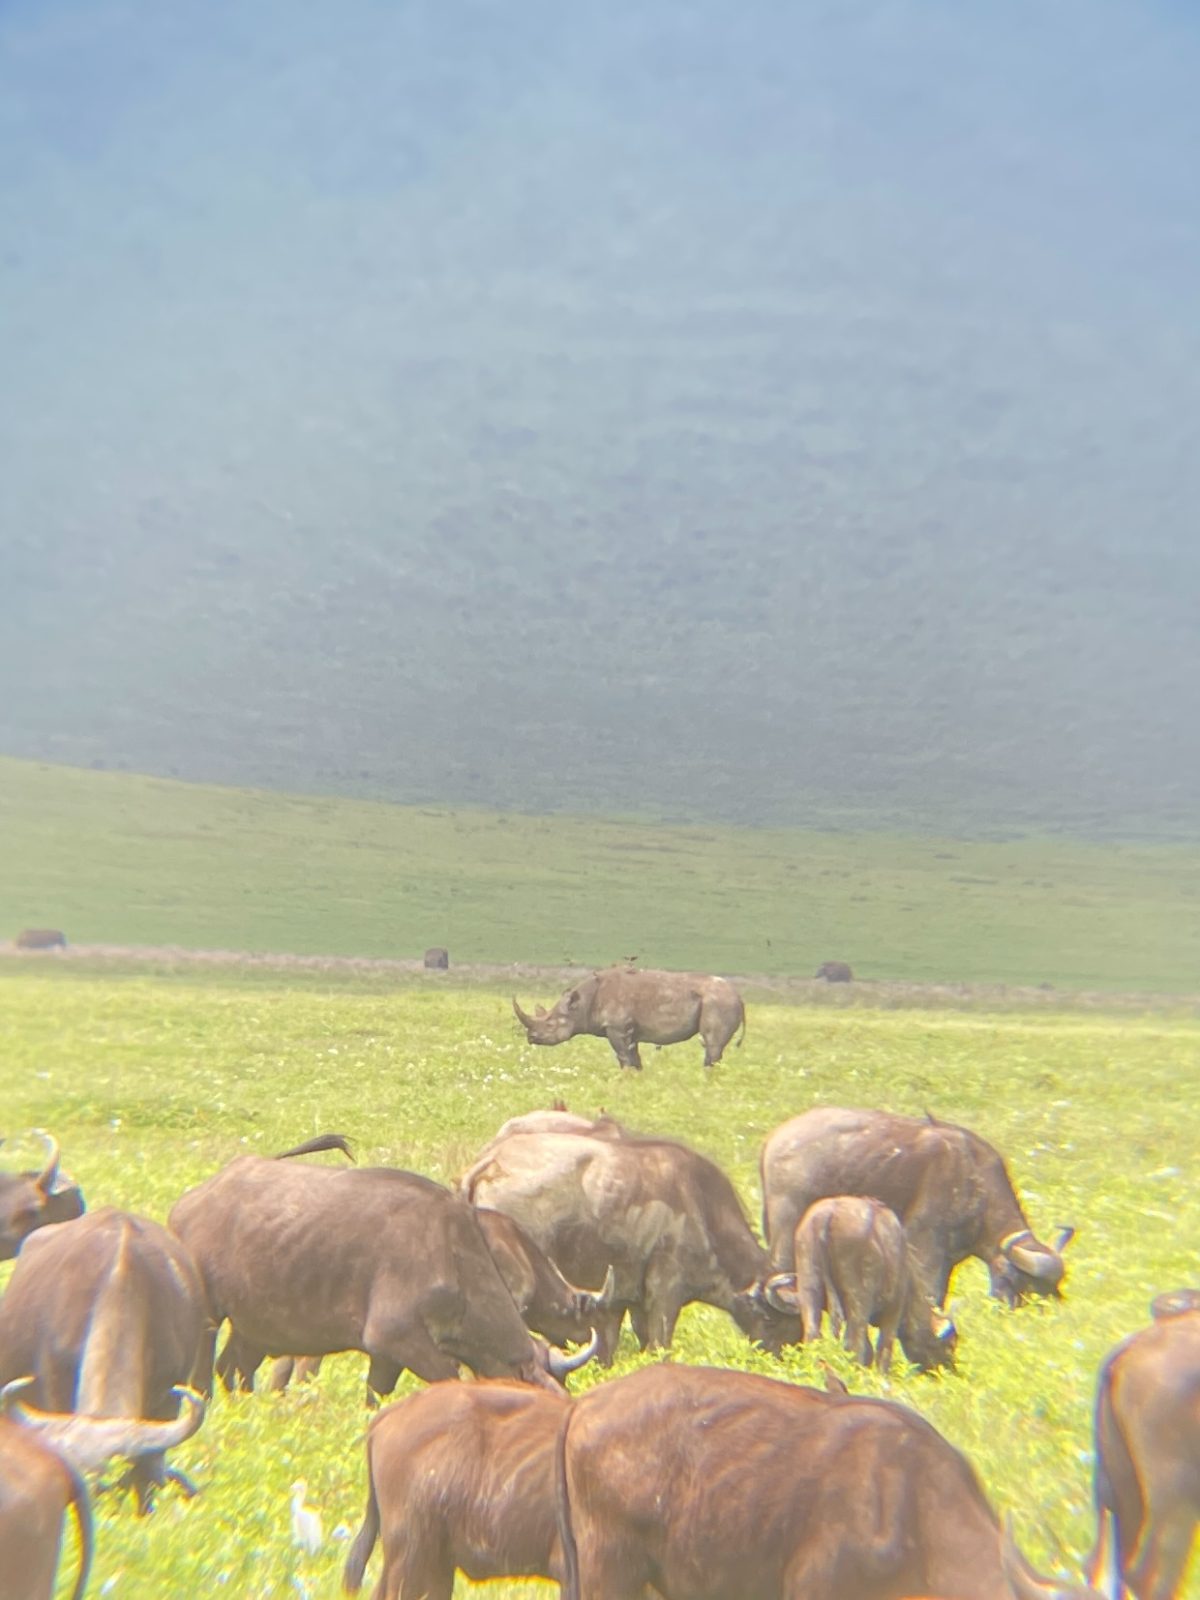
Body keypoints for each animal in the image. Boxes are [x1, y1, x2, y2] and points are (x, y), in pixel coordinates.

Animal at [513, 967, 745, 1072]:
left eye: (550, 1025)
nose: (531, 1038)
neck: (581, 1005)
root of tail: (740, 997)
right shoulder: (629, 1031)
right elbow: (634, 1059)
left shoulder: (616, 1027)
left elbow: (623, 1057)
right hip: (722, 1001)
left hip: (719, 1002)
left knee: (711, 1045)